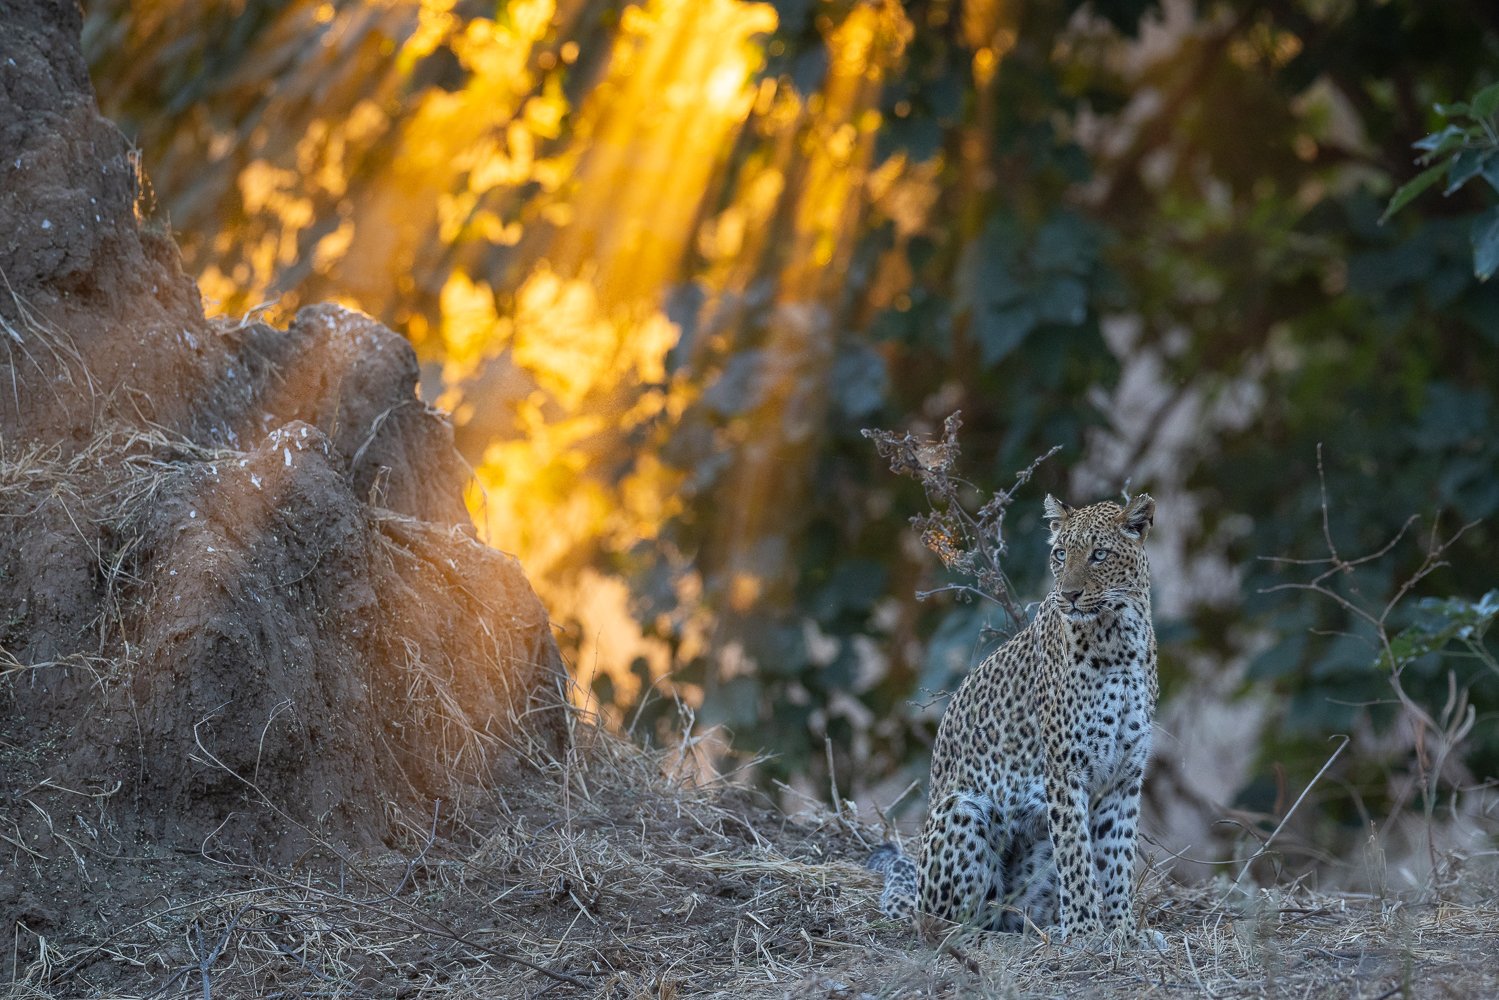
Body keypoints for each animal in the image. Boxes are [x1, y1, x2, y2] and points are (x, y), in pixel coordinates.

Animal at [870, 492, 1159, 947]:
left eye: (1099, 555)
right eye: (1060, 555)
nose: (1069, 595)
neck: (1119, 639)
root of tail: (916, 897)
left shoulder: (1125, 774)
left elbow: (1117, 860)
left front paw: (1123, 933)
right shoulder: (1065, 768)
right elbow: (1077, 857)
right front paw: (1086, 932)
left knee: (1013, 913)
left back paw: (1045, 927)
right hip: (962, 808)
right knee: (945, 922)